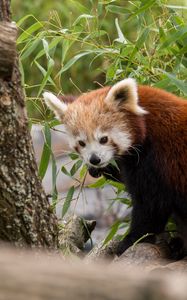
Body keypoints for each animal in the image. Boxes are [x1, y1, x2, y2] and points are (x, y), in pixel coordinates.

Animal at [43, 78, 187, 256]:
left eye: (103, 139)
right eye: (81, 143)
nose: (95, 159)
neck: (146, 123)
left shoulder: (156, 160)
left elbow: (151, 206)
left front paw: (129, 241)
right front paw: (102, 169)